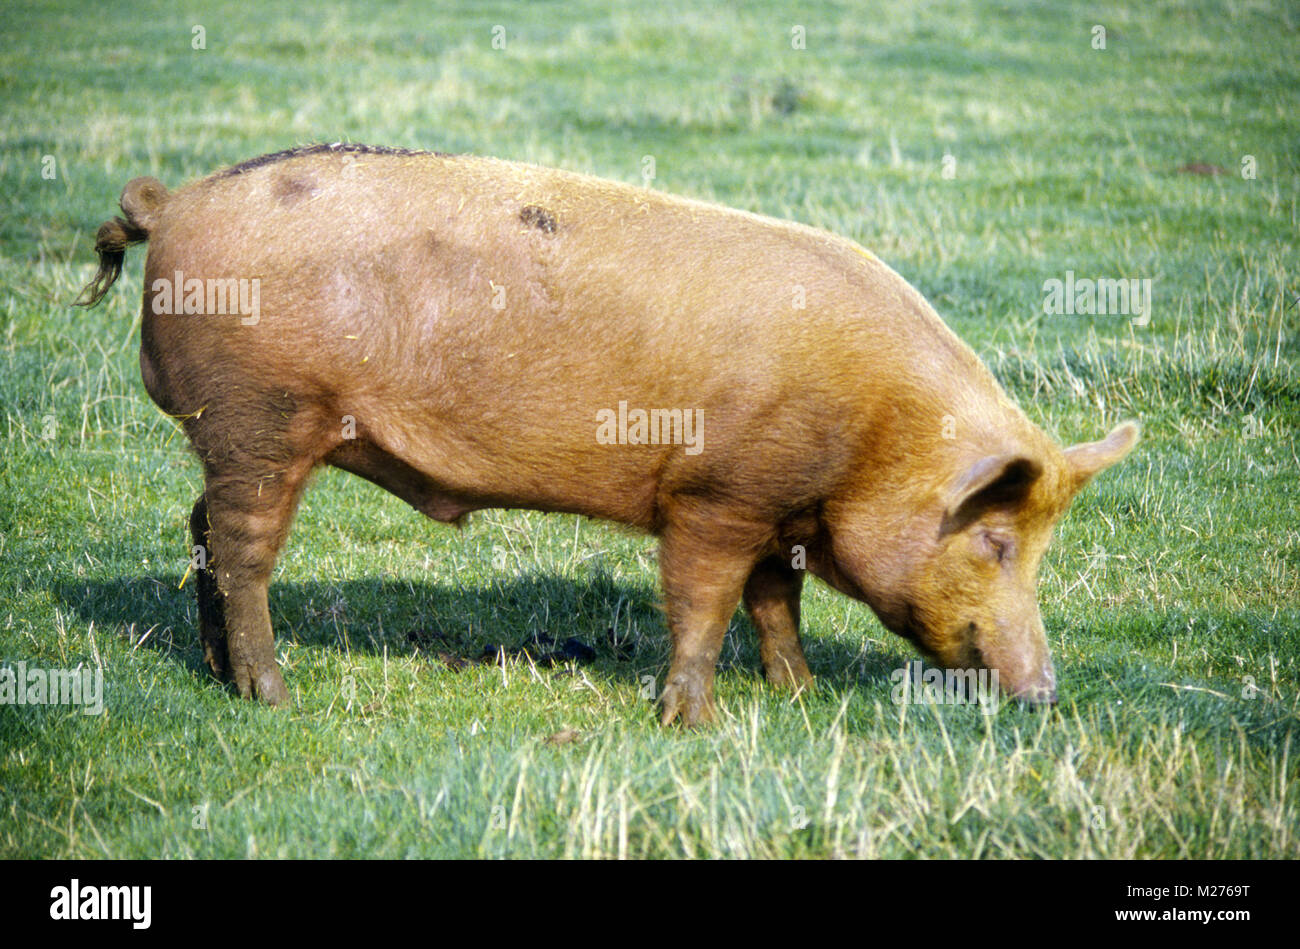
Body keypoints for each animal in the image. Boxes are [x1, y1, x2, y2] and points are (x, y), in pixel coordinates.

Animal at [78, 144, 1138, 722]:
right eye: (995, 539)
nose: (1044, 692)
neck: (881, 431)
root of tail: (174, 203)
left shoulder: (775, 506)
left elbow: (774, 603)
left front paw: (799, 696)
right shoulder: (714, 494)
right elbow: (706, 603)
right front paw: (692, 721)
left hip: (234, 432)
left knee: (199, 530)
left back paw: (219, 675)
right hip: (259, 414)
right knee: (244, 549)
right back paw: (273, 693)